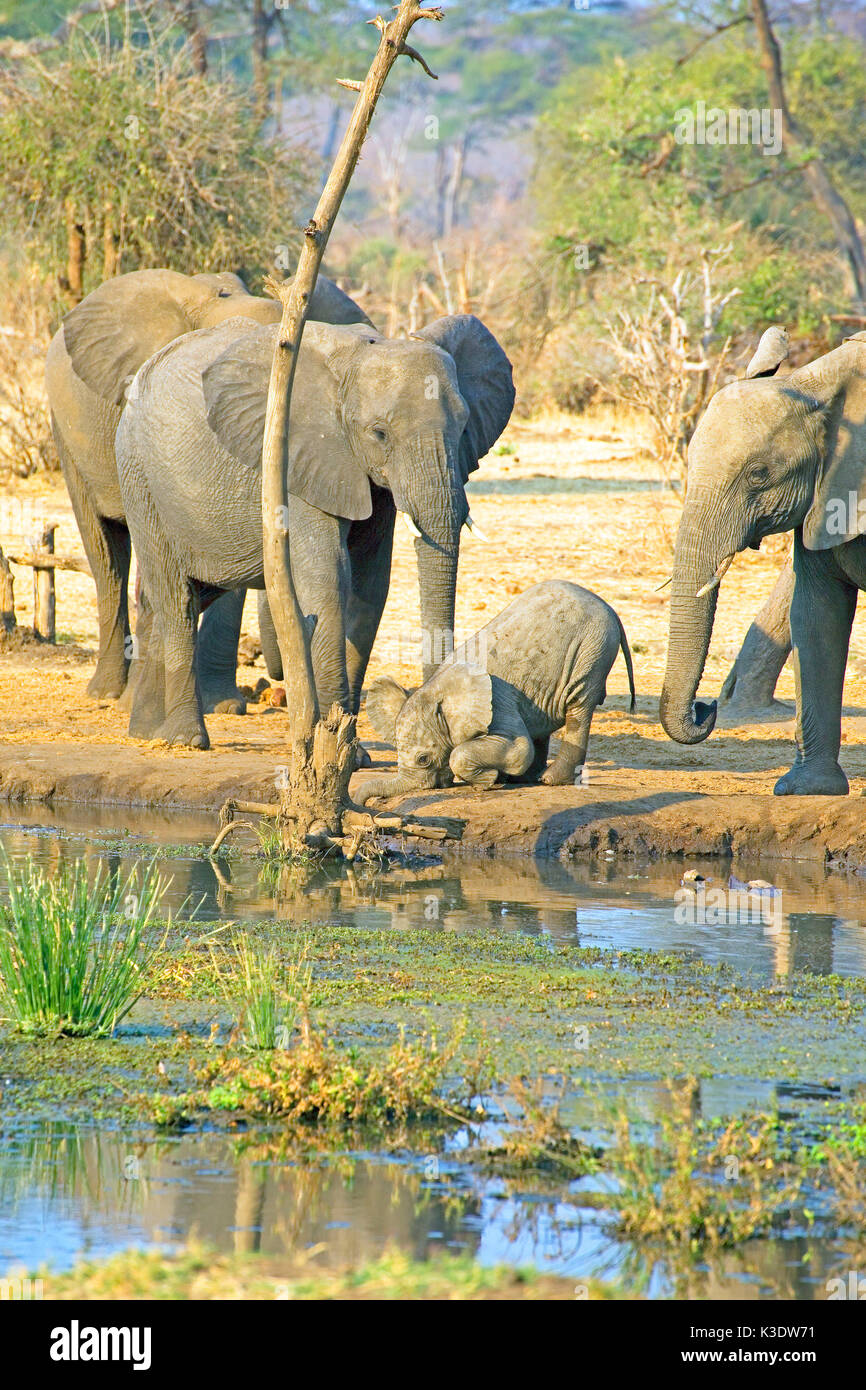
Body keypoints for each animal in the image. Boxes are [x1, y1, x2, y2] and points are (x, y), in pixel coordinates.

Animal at [114, 312, 514, 748]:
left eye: (464, 428)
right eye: (379, 433)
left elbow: (370, 584)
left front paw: (351, 750)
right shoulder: (299, 458)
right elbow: (328, 575)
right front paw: (338, 742)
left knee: (178, 596)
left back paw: (147, 731)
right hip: (139, 479)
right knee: (176, 598)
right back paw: (186, 739)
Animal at [359, 579, 635, 800]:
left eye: (423, 759)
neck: (438, 689)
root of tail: (608, 606)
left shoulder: (498, 701)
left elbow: (517, 750)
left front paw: (488, 781)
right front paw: (496, 778)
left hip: (592, 649)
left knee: (579, 706)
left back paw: (549, 780)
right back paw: (525, 779)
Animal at [660, 324, 866, 795]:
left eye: (759, 475)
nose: (707, 706)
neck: (814, 383)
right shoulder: (823, 493)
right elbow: (815, 613)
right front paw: (807, 788)